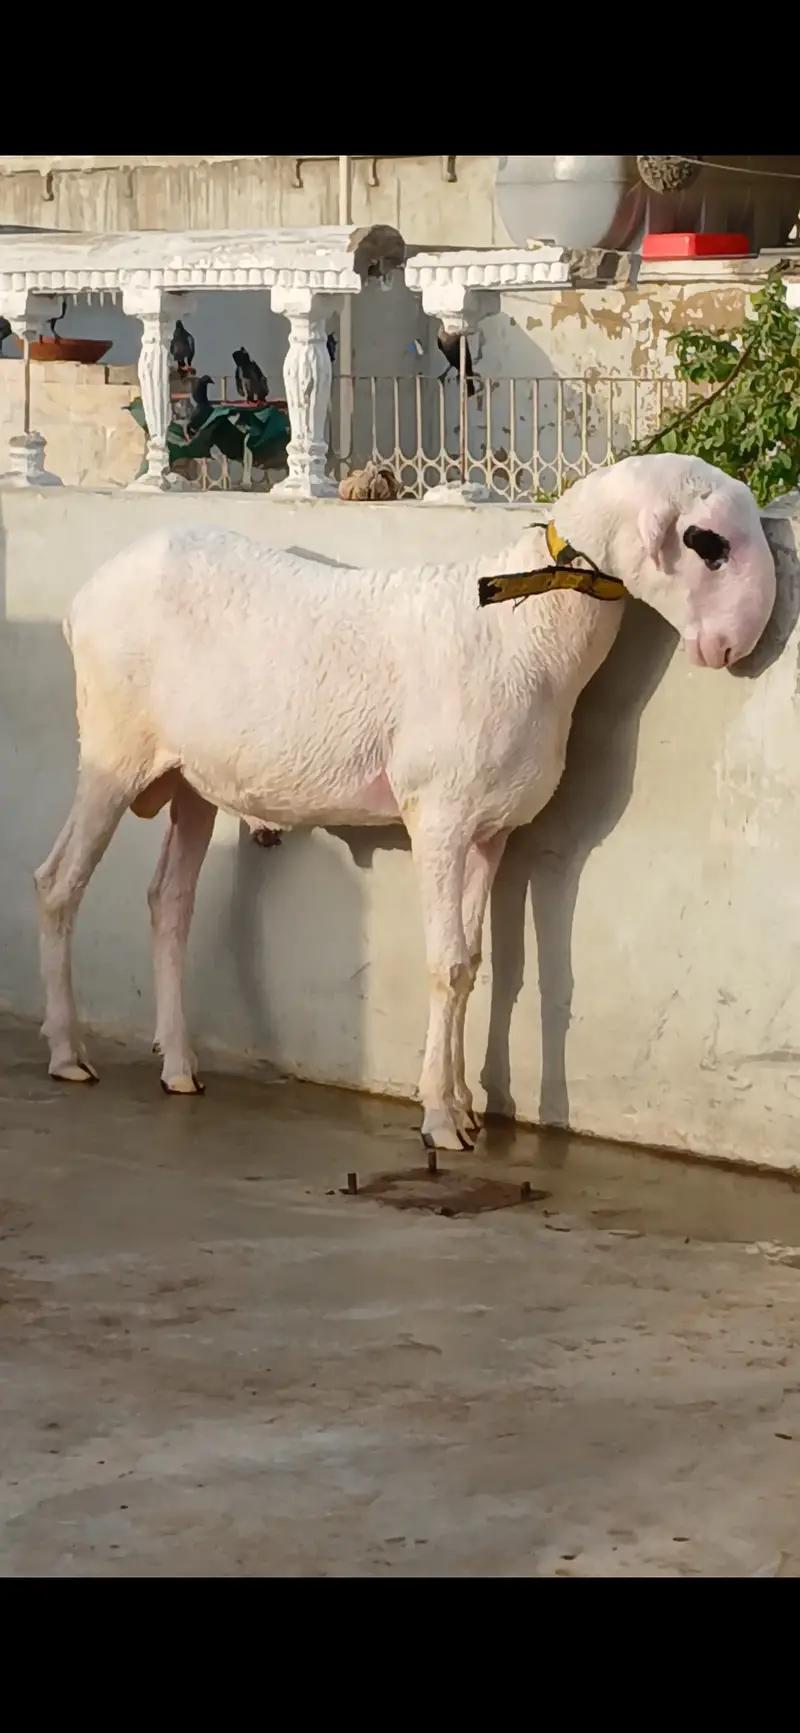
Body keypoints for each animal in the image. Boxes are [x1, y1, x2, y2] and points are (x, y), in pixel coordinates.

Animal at [34, 453, 776, 1152]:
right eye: (708, 543)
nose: (736, 641)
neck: (524, 624)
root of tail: (84, 598)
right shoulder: (440, 814)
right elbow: (444, 963)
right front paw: (440, 1120)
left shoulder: (493, 828)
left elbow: (474, 965)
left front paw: (467, 1107)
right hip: (112, 749)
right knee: (59, 884)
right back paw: (68, 1053)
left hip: (193, 780)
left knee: (170, 902)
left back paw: (180, 1066)